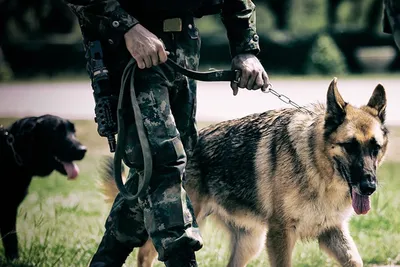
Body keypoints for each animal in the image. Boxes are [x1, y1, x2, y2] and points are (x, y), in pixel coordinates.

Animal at [0, 114, 87, 260]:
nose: (83, 150)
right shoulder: (7, 209)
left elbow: (11, 238)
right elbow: (11, 239)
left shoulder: (10, 208)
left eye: (73, 132)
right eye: (56, 131)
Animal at [101, 78, 390, 266]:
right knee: (145, 252)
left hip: (250, 243)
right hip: (181, 223)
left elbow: (356, 261)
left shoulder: (331, 232)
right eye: (350, 146)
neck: (317, 168)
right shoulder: (281, 236)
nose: (369, 187)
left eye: (375, 148)